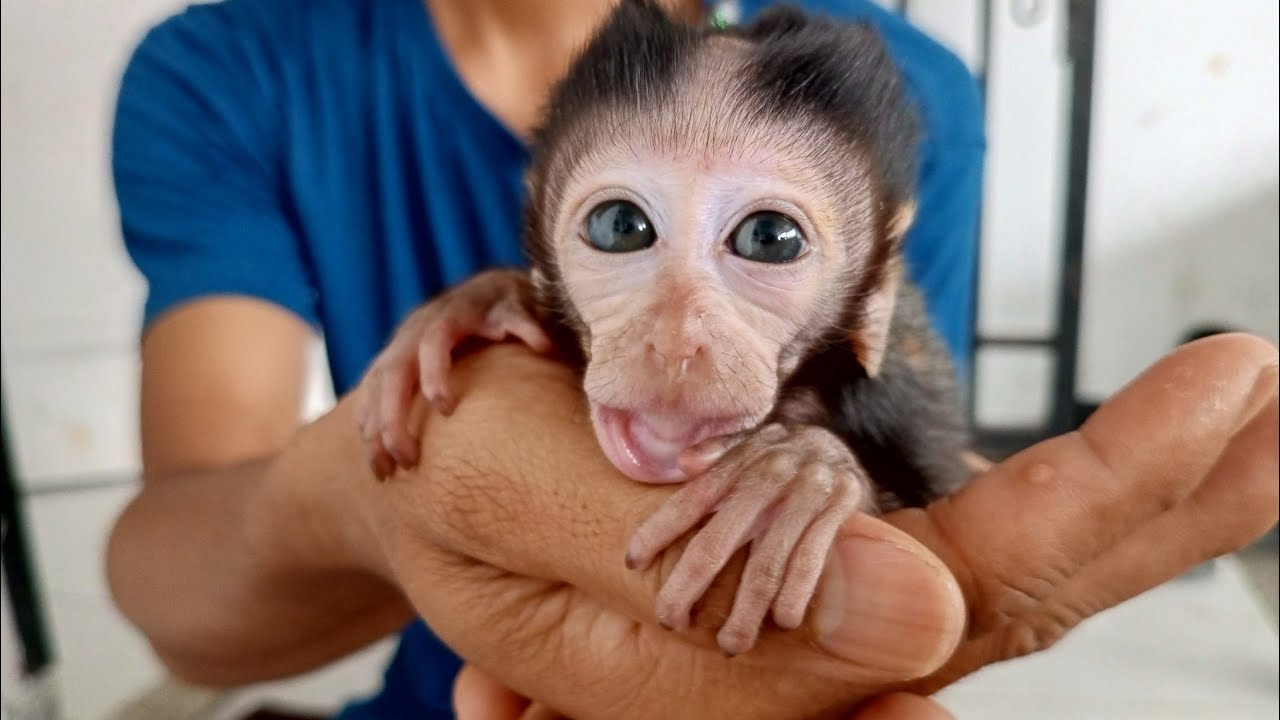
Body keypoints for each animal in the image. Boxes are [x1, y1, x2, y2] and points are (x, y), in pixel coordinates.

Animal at [355, 0, 972, 658]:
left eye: (769, 239)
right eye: (620, 226)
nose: (676, 343)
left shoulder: (907, 379)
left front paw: (798, 476)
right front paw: (475, 305)